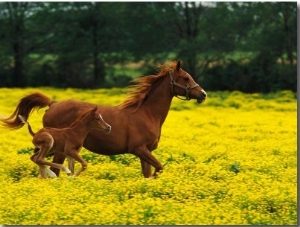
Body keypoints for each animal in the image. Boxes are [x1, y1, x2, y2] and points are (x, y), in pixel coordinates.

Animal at [0, 61, 206, 178]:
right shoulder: (139, 149)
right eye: (185, 78)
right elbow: (159, 168)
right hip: (57, 149)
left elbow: (148, 174)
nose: (203, 94)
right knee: (50, 166)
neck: (147, 114)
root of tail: (53, 103)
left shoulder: (145, 153)